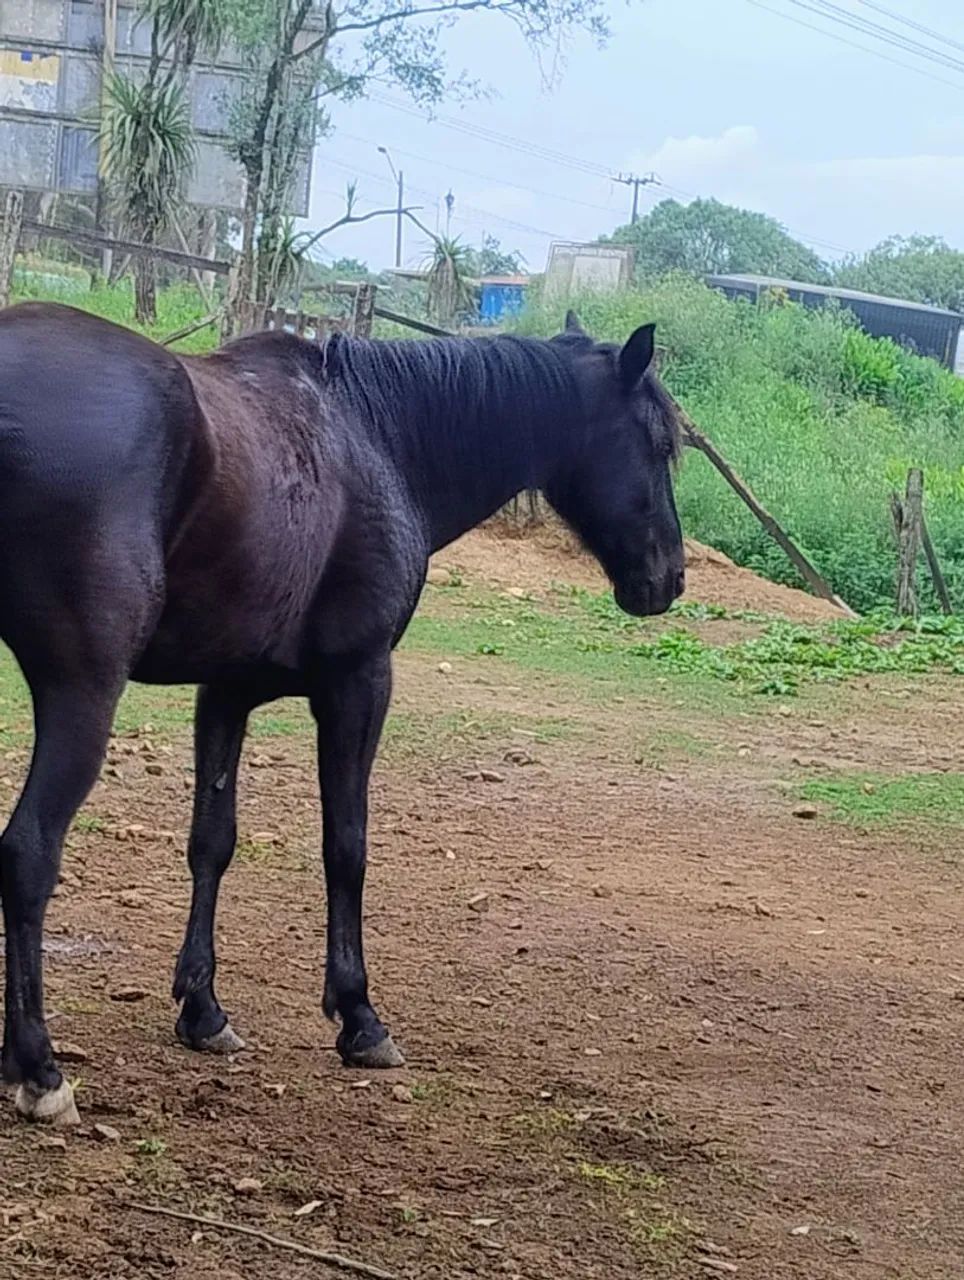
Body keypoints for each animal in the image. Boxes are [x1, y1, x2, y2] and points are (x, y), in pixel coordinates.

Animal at [0, 302, 684, 1125]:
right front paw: (360, 1017)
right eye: (659, 444)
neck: (377, 436)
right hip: (82, 694)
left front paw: (204, 1010)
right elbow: (346, 848)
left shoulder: (226, 693)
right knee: (27, 854)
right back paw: (39, 1069)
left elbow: (212, 844)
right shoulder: (359, 683)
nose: (670, 578)